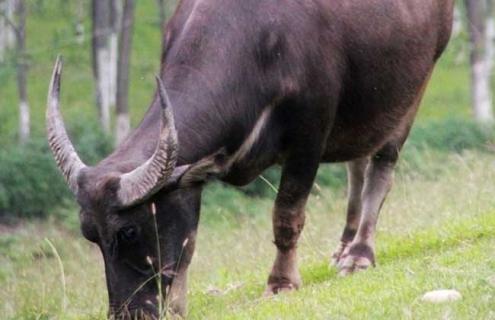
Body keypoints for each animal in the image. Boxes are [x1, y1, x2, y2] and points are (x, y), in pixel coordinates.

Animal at [45, 0, 454, 318]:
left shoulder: (309, 137)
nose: (128, 313)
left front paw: (281, 283)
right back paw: (343, 248)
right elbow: (187, 243)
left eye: (128, 231)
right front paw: (177, 306)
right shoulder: (192, 180)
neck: (259, 43)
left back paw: (359, 254)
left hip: (411, 90)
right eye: (90, 234)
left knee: (381, 167)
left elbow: (286, 215)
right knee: (357, 164)